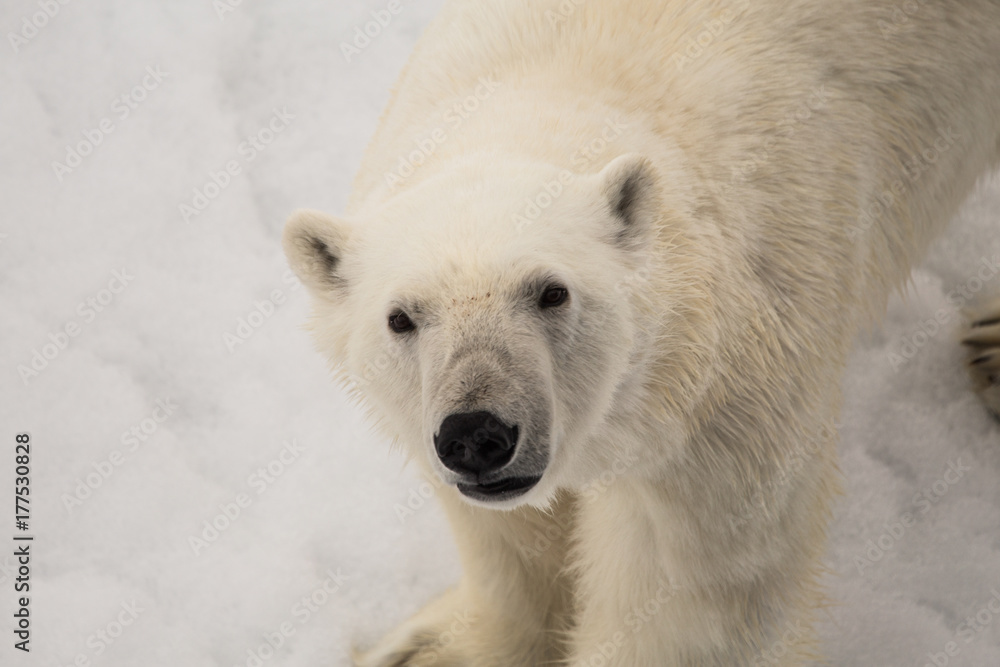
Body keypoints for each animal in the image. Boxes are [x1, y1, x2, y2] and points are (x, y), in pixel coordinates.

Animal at [284, 0, 1000, 664]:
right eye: (401, 317)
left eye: (552, 292)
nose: (476, 434)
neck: (562, 89)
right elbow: (512, 542)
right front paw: (429, 649)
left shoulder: (725, 397)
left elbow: (687, 593)